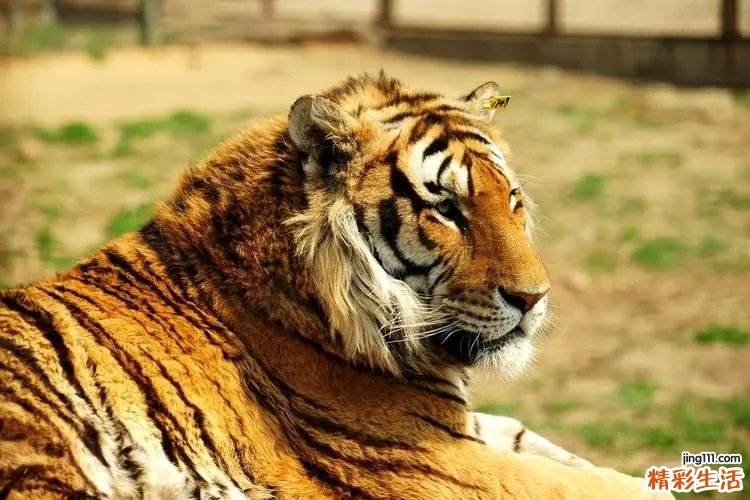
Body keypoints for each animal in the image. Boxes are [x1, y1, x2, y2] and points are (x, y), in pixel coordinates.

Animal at [0, 73, 670, 499]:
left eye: (511, 200)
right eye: (446, 209)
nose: (535, 299)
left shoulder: (456, 429)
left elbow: (547, 446)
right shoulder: (428, 463)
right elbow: (582, 484)